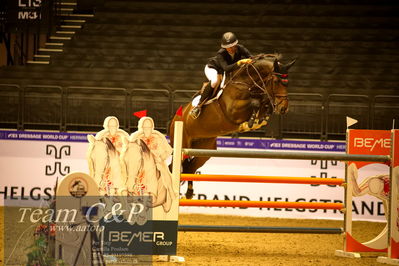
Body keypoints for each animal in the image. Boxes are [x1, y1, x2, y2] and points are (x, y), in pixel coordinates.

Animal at [167, 54, 296, 198]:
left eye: (287, 83)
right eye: (276, 81)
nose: (284, 108)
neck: (246, 82)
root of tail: (175, 118)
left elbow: (263, 103)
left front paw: (258, 120)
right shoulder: (233, 110)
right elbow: (255, 103)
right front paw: (250, 123)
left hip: (204, 150)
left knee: (190, 168)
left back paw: (189, 193)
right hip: (183, 143)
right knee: (173, 167)